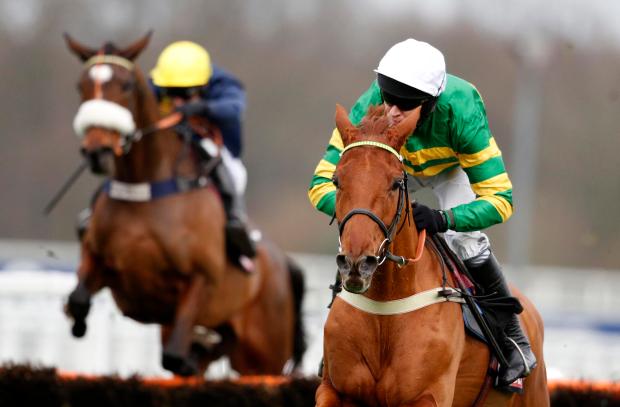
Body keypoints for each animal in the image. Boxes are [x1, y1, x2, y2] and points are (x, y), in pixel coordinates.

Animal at [63, 33, 306, 378]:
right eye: (80, 85)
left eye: (126, 85)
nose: (97, 151)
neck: (145, 186)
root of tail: (284, 263)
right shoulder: (98, 259)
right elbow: (79, 298)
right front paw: (77, 320)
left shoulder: (200, 280)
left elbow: (174, 356)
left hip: (264, 355)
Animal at [314, 104, 548, 404]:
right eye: (336, 180)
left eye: (395, 183)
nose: (357, 263)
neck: (384, 309)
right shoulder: (334, 388)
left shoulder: (428, 396)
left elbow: (498, 197)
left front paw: (430, 216)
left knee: (472, 244)